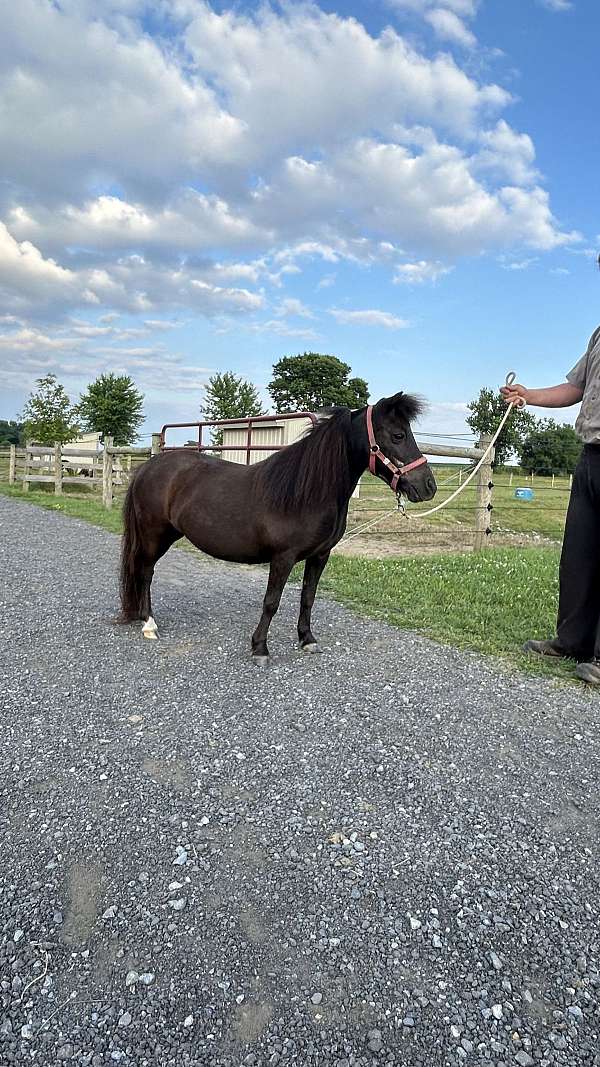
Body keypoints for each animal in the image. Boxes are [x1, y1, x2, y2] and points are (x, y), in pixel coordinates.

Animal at [117, 390, 433, 657]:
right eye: (398, 435)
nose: (428, 486)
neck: (307, 493)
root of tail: (148, 466)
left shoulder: (320, 556)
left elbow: (308, 598)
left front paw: (307, 639)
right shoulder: (283, 558)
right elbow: (271, 602)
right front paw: (260, 648)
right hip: (154, 535)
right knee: (145, 572)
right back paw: (149, 624)